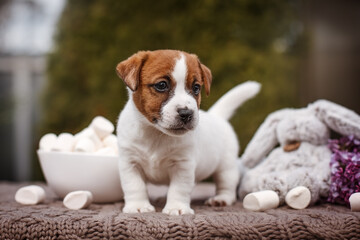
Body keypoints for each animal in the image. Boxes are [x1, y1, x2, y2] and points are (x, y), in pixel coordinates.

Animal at [116, 49, 260, 216]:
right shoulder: (130, 163)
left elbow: (179, 188)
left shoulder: (183, 165)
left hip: (226, 167)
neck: (156, 133)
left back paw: (221, 198)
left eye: (196, 87)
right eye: (161, 85)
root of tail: (217, 116)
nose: (186, 113)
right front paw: (138, 206)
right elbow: (134, 186)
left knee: (226, 185)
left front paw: (176, 207)